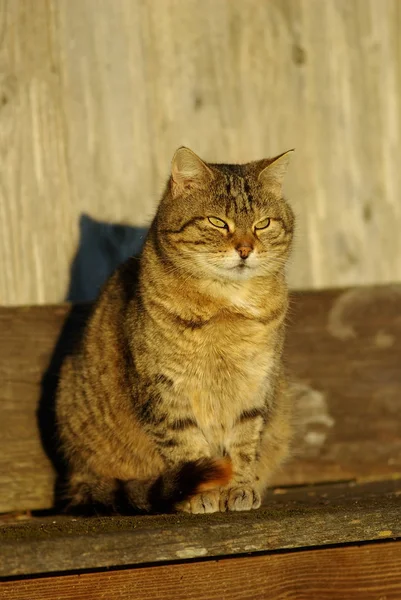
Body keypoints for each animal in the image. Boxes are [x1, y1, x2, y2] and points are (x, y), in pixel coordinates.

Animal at [56, 148, 294, 512]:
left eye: (263, 224)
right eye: (217, 222)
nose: (245, 249)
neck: (226, 309)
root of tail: (78, 477)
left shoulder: (256, 384)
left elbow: (244, 441)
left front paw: (239, 488)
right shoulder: (163, 388)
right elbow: (185, 444)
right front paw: (202, 494)